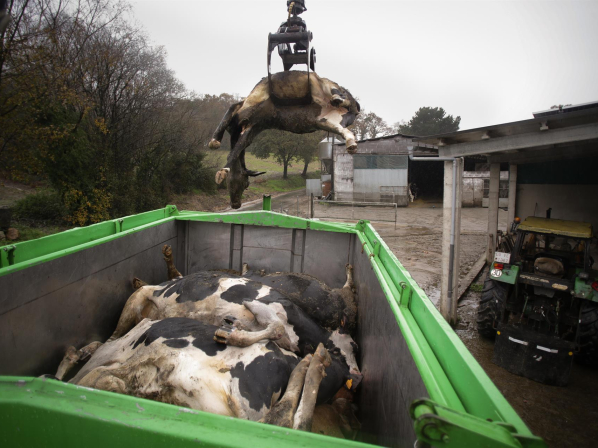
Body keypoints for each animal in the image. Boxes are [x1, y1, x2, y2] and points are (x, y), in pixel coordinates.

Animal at [208, 71, 360, 209]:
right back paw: (351, 144)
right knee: (347, 130)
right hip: (328, 120)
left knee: (341, 95)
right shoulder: (243, 117)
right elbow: (230, 112)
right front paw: (214, 142)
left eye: (247, 184)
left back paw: (337, 99)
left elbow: (237, 148)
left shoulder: (251, 125)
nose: (236, 205)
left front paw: (222, 172)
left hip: (327, 86)